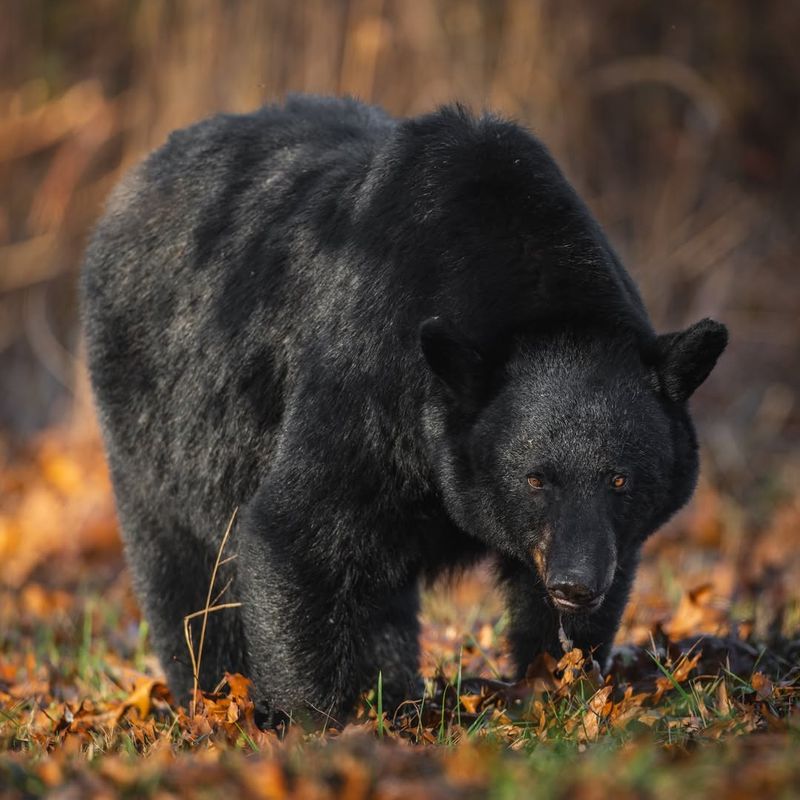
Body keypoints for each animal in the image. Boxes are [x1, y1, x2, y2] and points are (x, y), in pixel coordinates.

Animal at [79, 94, 724, 724]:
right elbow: (293, 532)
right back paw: (209, 695)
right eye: (536, 479)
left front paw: (563, 688)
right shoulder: (366, 372)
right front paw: (311, 722)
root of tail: (131, 184)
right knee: (186, 573)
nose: (576, 584)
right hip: (151, 422)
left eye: (621, 478)